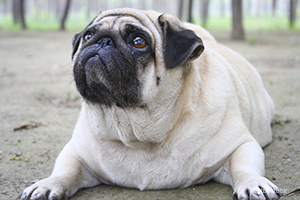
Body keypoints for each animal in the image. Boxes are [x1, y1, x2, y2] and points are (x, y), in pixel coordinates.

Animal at [18, 7, 282, 200]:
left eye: (138, 41)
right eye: (87, 36)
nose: (103, 41)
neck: (136, 130)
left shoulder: (242, 145)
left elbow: (243, 166)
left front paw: (253, 184)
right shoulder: (77, 151)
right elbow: (65, 170)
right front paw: (47, 185)